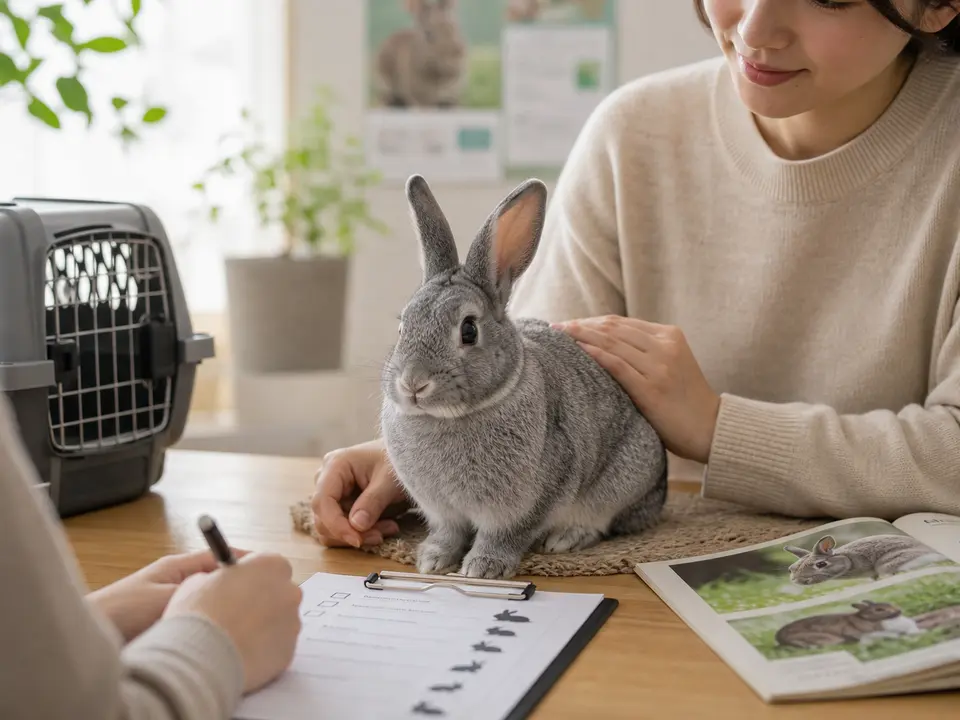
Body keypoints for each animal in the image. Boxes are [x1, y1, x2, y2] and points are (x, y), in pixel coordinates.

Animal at [378, 174, 668, 580]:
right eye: (403, 325)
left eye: (469, 330)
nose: (413, 383)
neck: (449, 418)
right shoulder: (443, 512)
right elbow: (449, 534)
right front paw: (432, 560)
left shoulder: (533, 497)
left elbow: (506, 535)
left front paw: (482, 568)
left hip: (625, 479)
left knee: (601, 519)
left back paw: (565, 539)